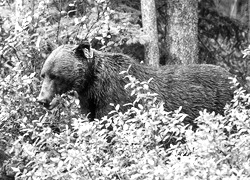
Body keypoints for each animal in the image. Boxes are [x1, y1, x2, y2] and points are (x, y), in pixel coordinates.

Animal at [37, 41, 234, 126]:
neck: (92, 84)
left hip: (222, 104)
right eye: (43, 74)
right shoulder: (89, 101)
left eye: (55, 75)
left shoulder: (115, 98)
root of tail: (232, 77)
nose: (42, 99)